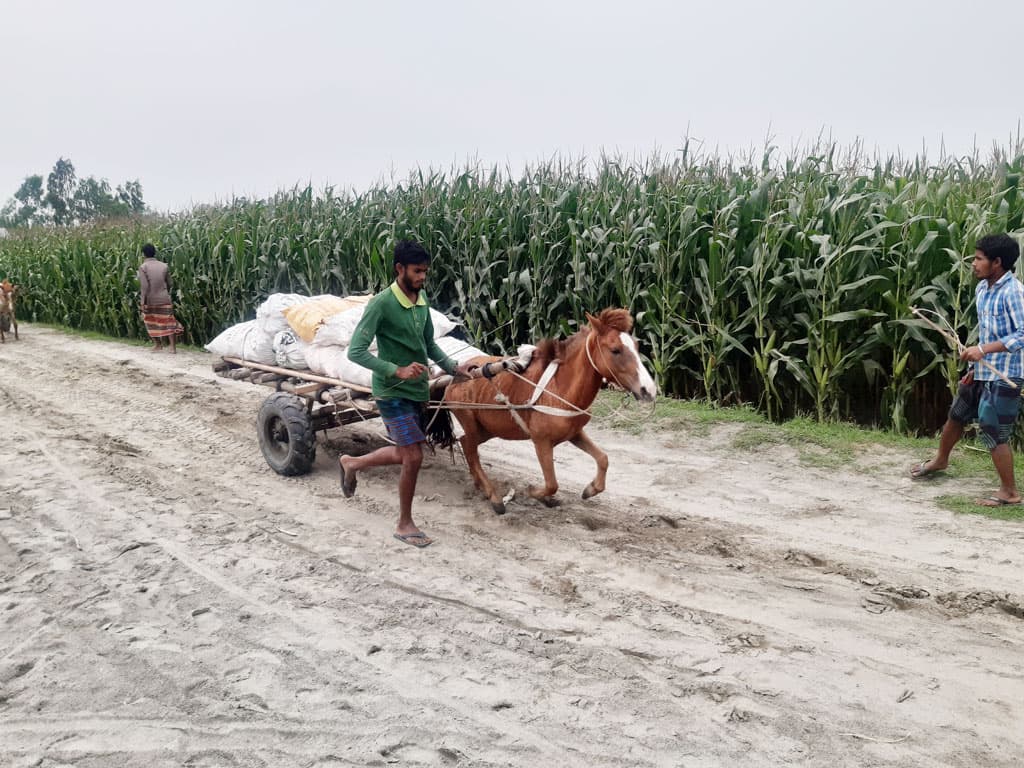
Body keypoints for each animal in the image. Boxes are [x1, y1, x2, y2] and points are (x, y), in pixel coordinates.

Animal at [446, 309, 655, 518]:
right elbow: (552, 484)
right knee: (471, 450)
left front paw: (590, 489)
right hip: (471, 424)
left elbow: (603, 459)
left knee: (465, 443)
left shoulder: (574, 433)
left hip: (489, 429)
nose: (649, 390)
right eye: (615, 350)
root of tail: (456, 375)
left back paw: (479, 485)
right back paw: (494, 496)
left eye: (636, 346)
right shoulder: (541, 442)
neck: (560, 388)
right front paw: (533, 491)